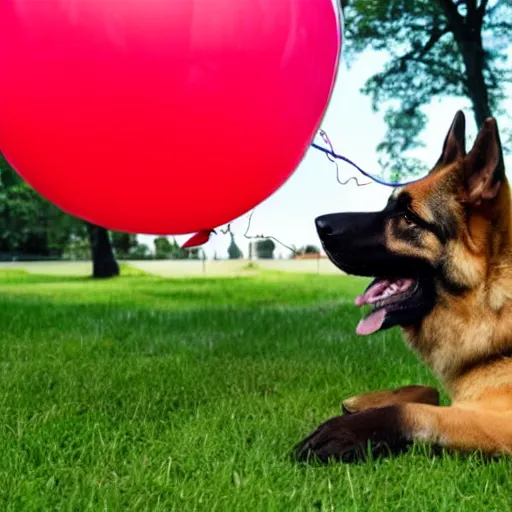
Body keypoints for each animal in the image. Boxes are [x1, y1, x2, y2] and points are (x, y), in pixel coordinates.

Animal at [294, 112, 512, 464]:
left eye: (408, 217)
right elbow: (429, 391)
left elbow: (418, 411)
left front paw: (349, 429)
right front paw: (370, 400)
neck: (493, 298)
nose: (319, 224)